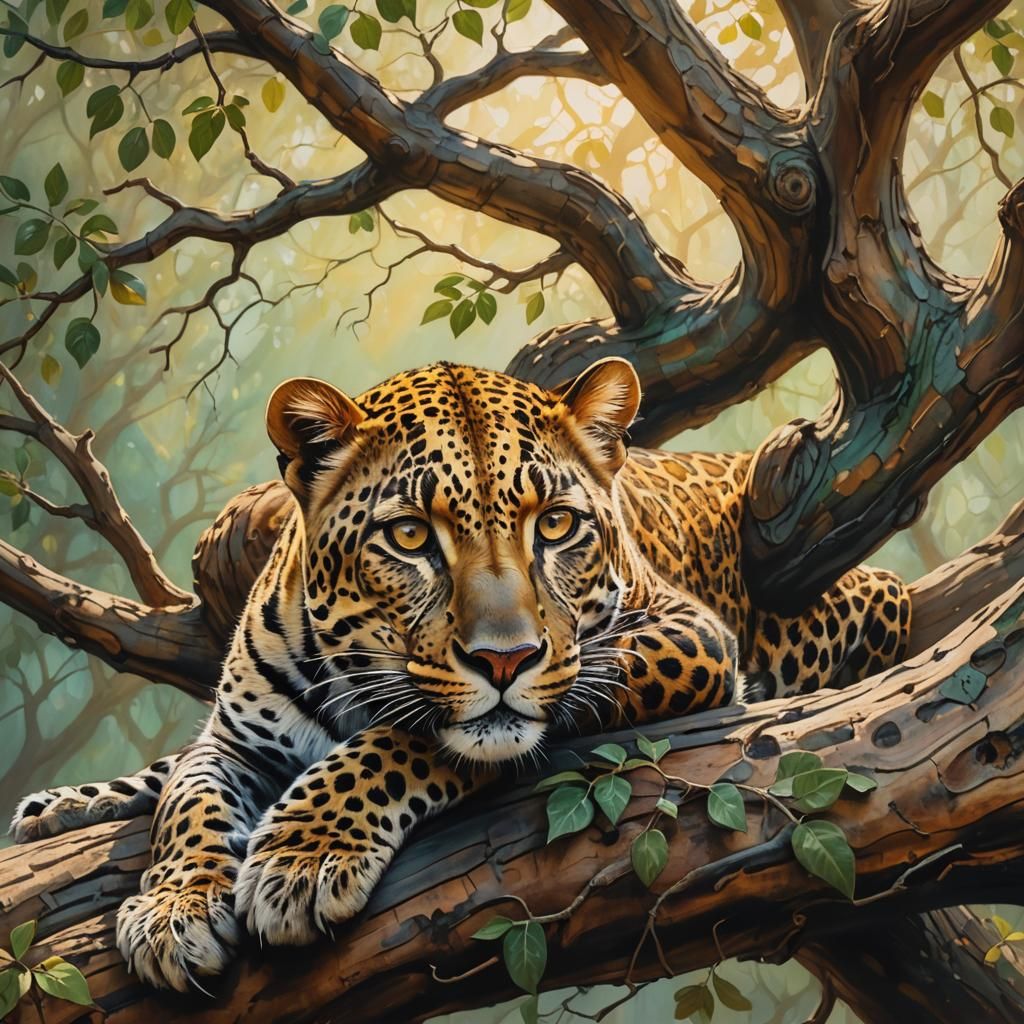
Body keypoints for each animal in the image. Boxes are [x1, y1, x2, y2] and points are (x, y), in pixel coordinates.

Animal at [10, 358, 910, 991]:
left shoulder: (688, 635)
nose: (504, 658)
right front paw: (172, 908)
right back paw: (63, 806)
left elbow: (407, 735)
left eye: (557, 525)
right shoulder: (232, 741)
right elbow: (187, 803)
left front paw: (303, 854)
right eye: (410, 536)